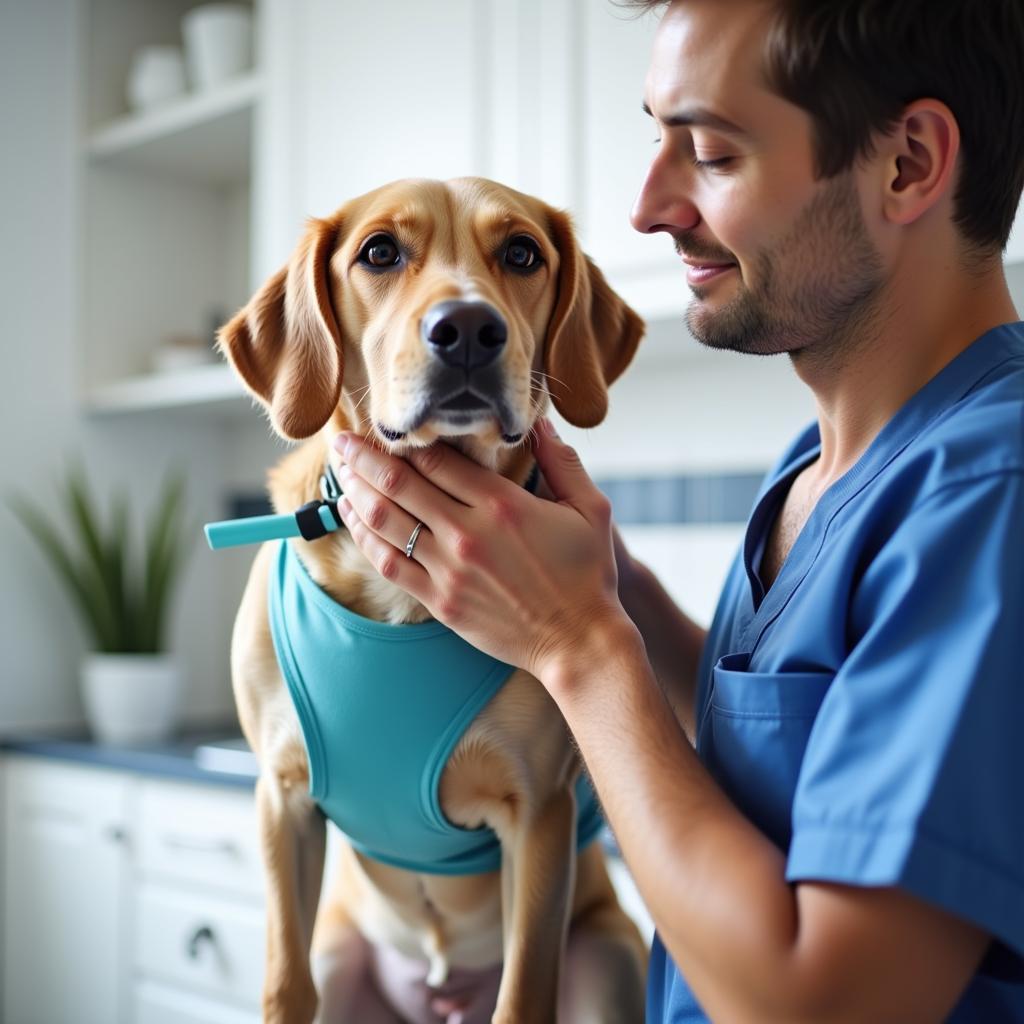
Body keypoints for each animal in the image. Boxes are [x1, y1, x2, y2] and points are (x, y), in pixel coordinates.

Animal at [219, 178, 647, 1024]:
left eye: (523, 253)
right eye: (380, 251)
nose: (469, 330)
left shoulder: (539, 815)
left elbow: (524, 993)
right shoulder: (281, 800)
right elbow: (285, 982)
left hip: (609, 956)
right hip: (344, 956)